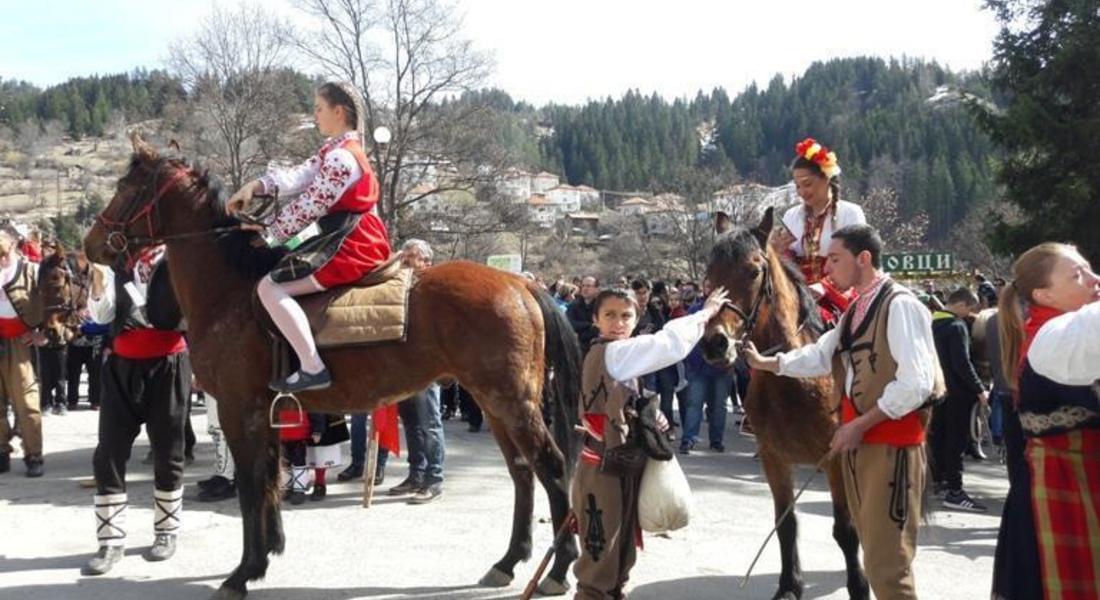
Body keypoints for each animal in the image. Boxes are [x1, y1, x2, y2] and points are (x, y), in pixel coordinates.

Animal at [83, 135, 585, 598]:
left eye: (127, 187)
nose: (91, 245)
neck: (232, 290)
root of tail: (518, 283)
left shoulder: (239, 409)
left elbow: (250, 485)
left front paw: (243, 572)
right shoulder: (267, 414)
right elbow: (269, 480)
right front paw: (268, 552)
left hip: (511, 402)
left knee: (553, 466)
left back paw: (559, 568)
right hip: (496, 403)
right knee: (522, 472)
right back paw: (509, 560)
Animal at [699, 206, 871, 598]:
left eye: (753, 271)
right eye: (708, 273)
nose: (715, 343)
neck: (795, 373)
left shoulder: (834, 457)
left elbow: (846, 530)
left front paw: (858, 585)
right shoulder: (773, 457)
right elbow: (786, 523)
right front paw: (790, 586)